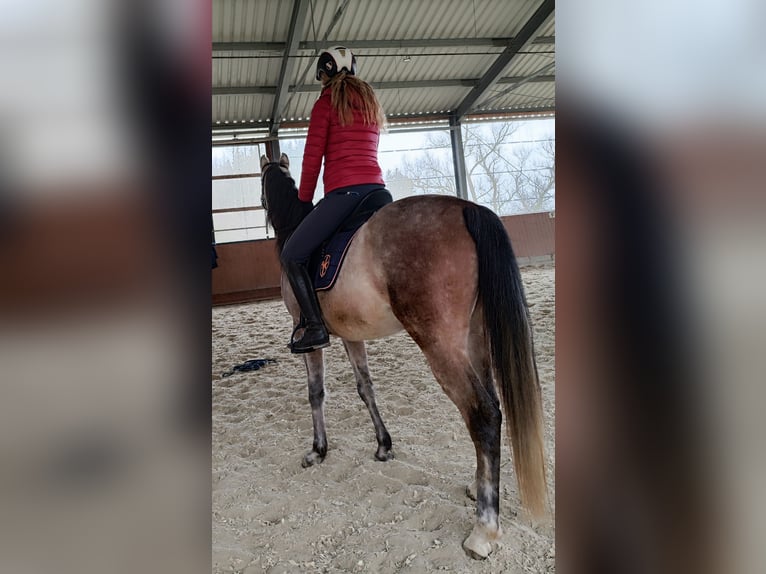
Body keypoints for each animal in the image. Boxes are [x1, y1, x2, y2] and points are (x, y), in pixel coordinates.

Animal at [259, 153, 547, 559]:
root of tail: (468, 209)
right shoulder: (352, 336)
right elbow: (366, 388)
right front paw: (383, 446)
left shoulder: (309, 339)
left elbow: (316, 393)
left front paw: (318, 451)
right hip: (473, 339)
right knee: (489, 406)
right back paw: (478, 487)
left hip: (440, 343)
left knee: (483, 413)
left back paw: (483, 530)